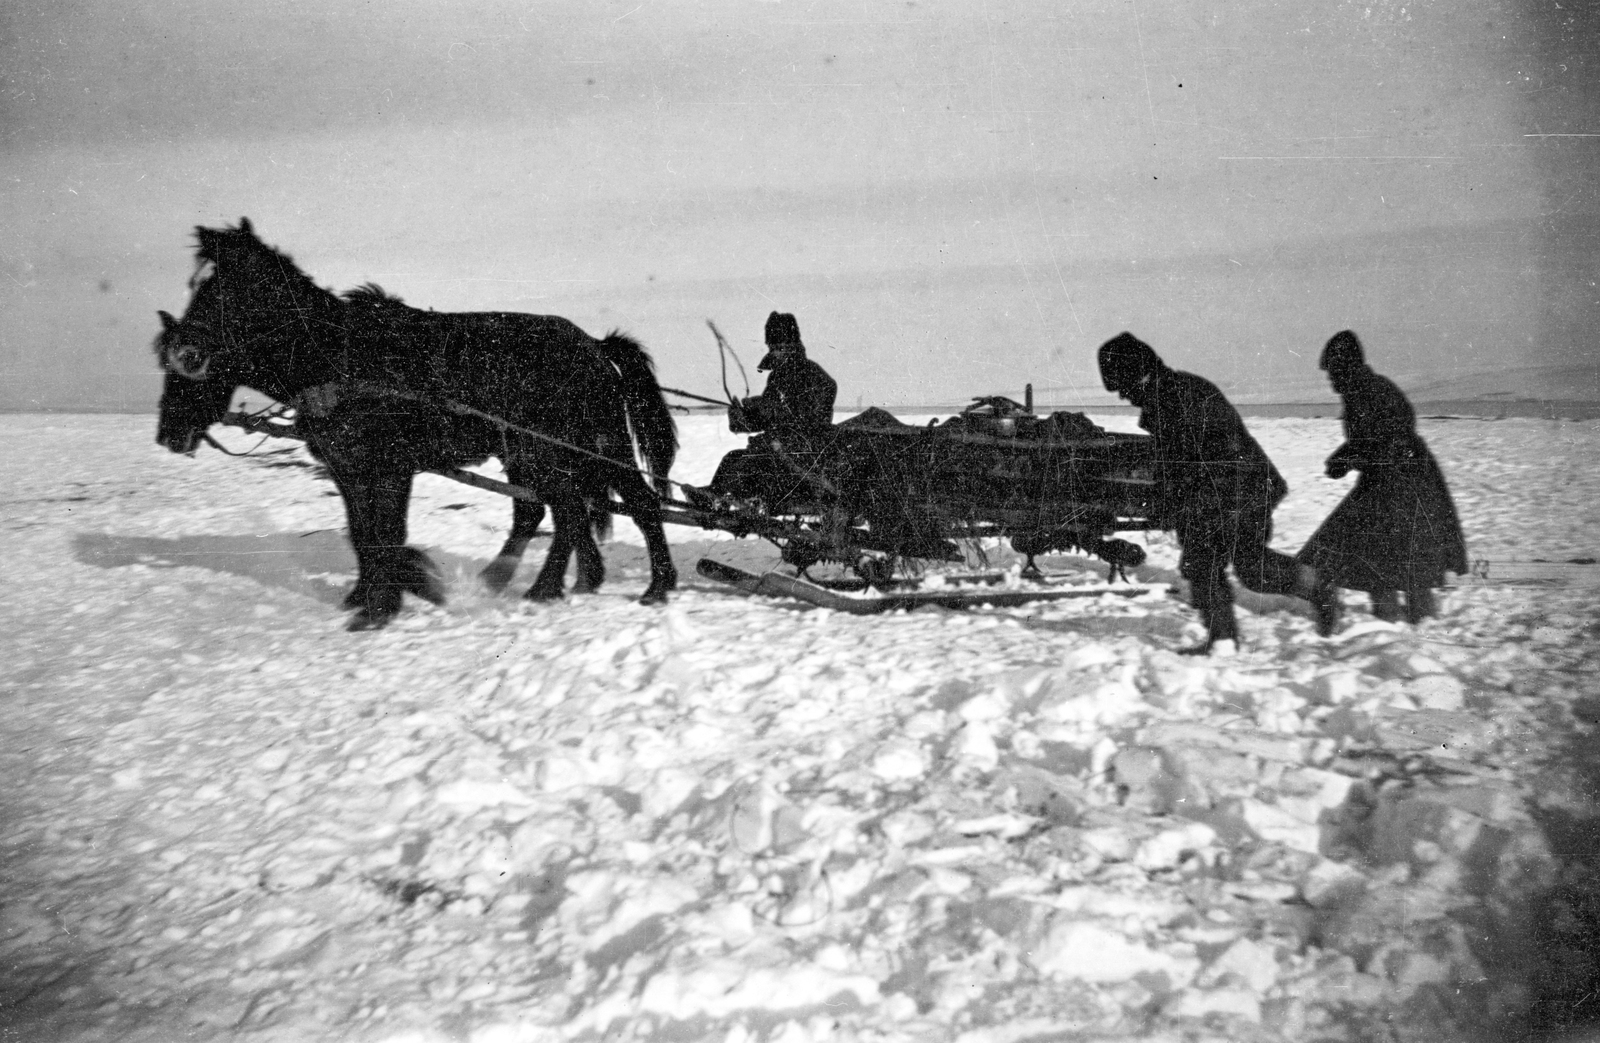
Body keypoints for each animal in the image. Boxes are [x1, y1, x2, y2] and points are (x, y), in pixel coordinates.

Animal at [150, 217, 675, 627]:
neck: (339, 358)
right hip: (540, 455)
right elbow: (362, 534)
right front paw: (368, 596)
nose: (185, 350)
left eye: (223, 290)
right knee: (564, 513)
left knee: (634, 504)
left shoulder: (391, 468)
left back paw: (653, 587)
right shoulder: (349, 470)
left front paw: (394, 598)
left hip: (591, 446)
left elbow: (388, 535)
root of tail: (596, 346)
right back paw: (547, 585)